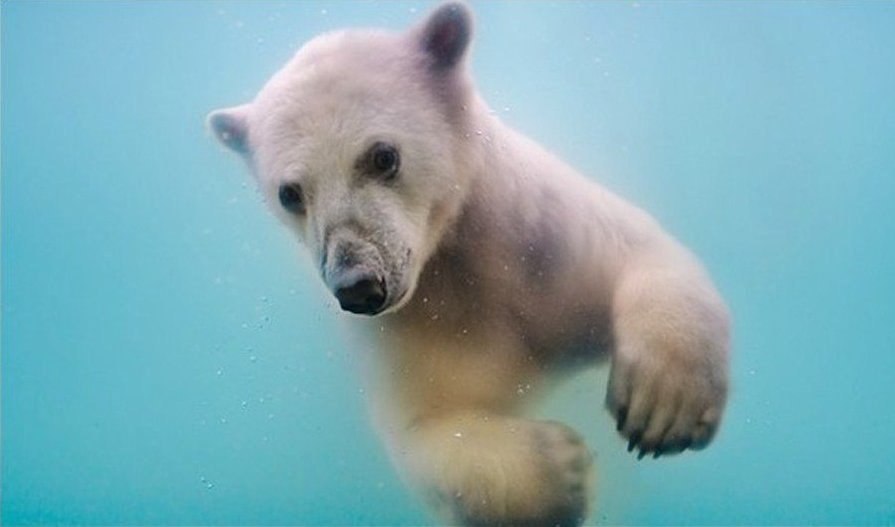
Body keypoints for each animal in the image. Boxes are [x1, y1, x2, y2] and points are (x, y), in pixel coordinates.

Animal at [208, 3, 728, 524]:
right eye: (289, 193)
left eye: (383, 156)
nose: (358, 286)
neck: (464, 261)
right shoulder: (411, 329)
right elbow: (428, 423)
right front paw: (562, 470)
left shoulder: (544, 238)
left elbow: (639, 250)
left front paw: (665, 405)